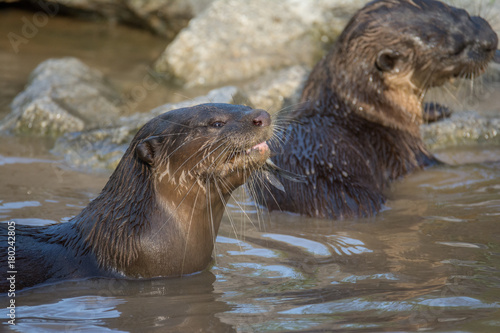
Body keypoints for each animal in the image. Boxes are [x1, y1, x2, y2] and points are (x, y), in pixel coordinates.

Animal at [256, 0, 498, 219]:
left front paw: (435, 109)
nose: (491, 40)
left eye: (463, 12)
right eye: (452, 51)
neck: (370, 107)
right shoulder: (406, 151)